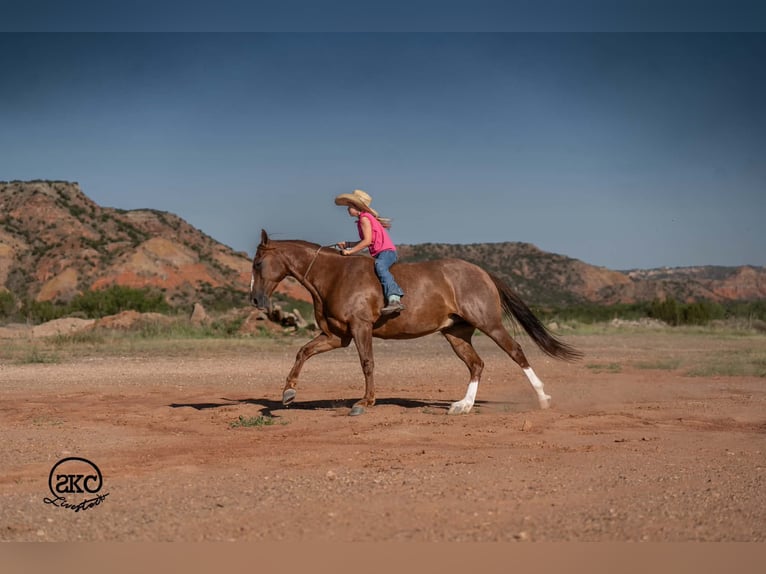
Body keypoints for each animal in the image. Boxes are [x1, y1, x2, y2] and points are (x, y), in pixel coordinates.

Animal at [250, 230, 582, 416]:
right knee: (476, 365)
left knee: (516, 353)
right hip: (456, 333)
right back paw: (462, 406)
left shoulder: (360, 328)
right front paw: (288, 393)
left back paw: (542, 399)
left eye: (257, 263)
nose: (254, 300)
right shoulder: (336, 336)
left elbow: (367, 363)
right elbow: (303, 352)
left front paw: (365, 403)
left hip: (490, 324)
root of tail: (482, 272)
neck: (334, 275)